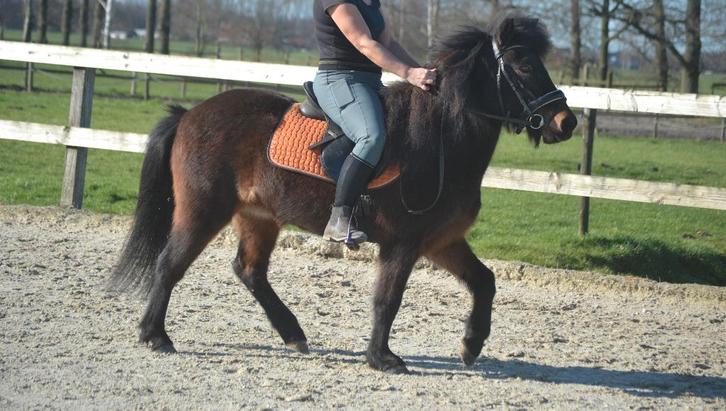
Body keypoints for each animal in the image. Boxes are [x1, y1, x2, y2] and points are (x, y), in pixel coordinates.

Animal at [110, 13, 577, 374]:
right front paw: (382, 358)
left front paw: (471, 345)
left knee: (250, 271)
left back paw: (293, 334)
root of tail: (190, 114)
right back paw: (155, 335)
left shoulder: (441, 240)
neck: (441, 140)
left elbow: (484, 281)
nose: (566, 122)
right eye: (521, 66)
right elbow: (388, 299)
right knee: (170, 263)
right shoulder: (404, 242)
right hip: (204, 209)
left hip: (258, 217)